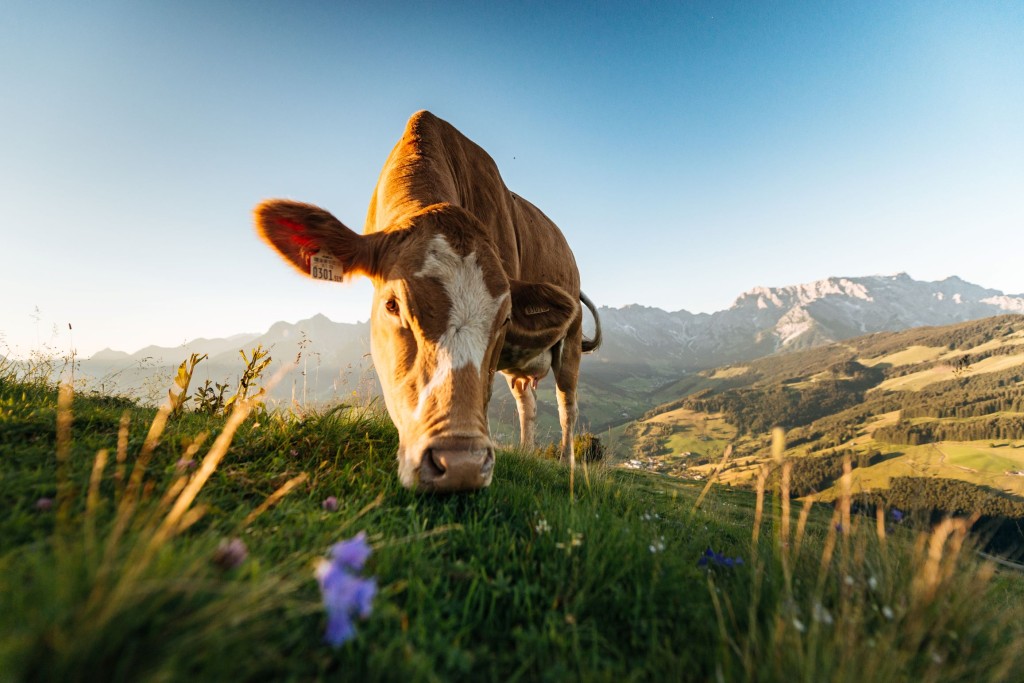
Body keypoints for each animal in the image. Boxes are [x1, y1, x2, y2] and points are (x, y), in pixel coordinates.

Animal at [255, 111, 601, 492]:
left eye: (505, 319)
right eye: (392, 305)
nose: (461, 465)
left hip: (570, 343)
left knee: (567, 405)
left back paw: (567, 464)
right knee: (527, 400)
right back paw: (526, 453)